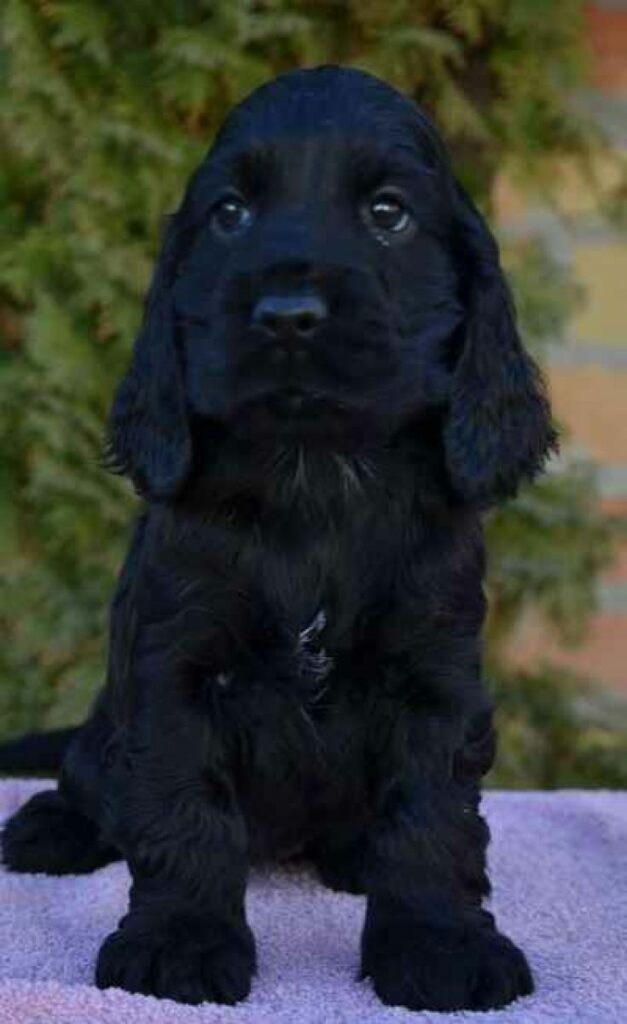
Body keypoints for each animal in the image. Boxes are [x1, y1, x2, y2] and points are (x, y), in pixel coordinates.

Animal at [0, 66, 555, 1010]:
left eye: (387, 212)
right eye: (228, 213)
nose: (287, 314)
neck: (314, 475)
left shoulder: (436, 677)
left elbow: (432, 823)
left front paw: (439, 946)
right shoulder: (175, 667)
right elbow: (182, 812)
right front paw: (180, 943)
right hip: (105, 725)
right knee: (85, 771)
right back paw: (51, 826)